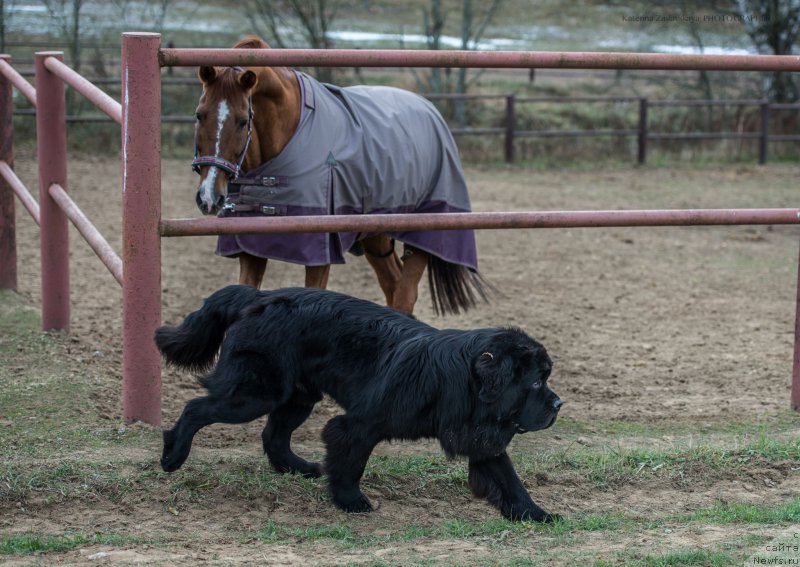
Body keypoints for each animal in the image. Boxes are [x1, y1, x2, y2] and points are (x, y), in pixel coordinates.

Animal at [156, 286, 564, 520]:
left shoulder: (481, 436)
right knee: (196, 408)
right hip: (256, 394)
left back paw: (296, 467)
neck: (466, 382)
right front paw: (350, 501)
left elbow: (508, 479)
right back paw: (172, 456)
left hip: (297, 396)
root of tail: (258, 297)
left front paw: (535, 513)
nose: (559, 403)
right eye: (536, 380)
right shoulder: (360, 423)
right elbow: (350, 461)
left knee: (273, 434)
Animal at [192, 36, 488, 316]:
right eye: (199, 115)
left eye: (243, 120)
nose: (209, 197)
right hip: (375, 234)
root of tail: (431, 111)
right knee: (392, 284)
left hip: (425, 231)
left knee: (405, 295)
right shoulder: (251, 250)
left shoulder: (319, 254)